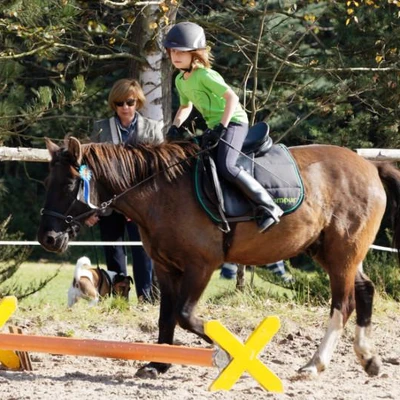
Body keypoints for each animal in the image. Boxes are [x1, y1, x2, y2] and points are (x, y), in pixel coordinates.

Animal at [39, 138, 400, 378]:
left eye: (70, 184)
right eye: (47, 182)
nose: (48, 238)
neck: (160, 194)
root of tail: (370, 165)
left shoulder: (201, 266)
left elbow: (185, 315)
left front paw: (231, 350)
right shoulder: (166, 268)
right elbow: (166, 317)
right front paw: (158, 364)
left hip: (342, 253)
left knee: (343, 303)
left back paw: (315, 363)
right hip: (334, 252)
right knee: (364, 291)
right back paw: (369, 360)